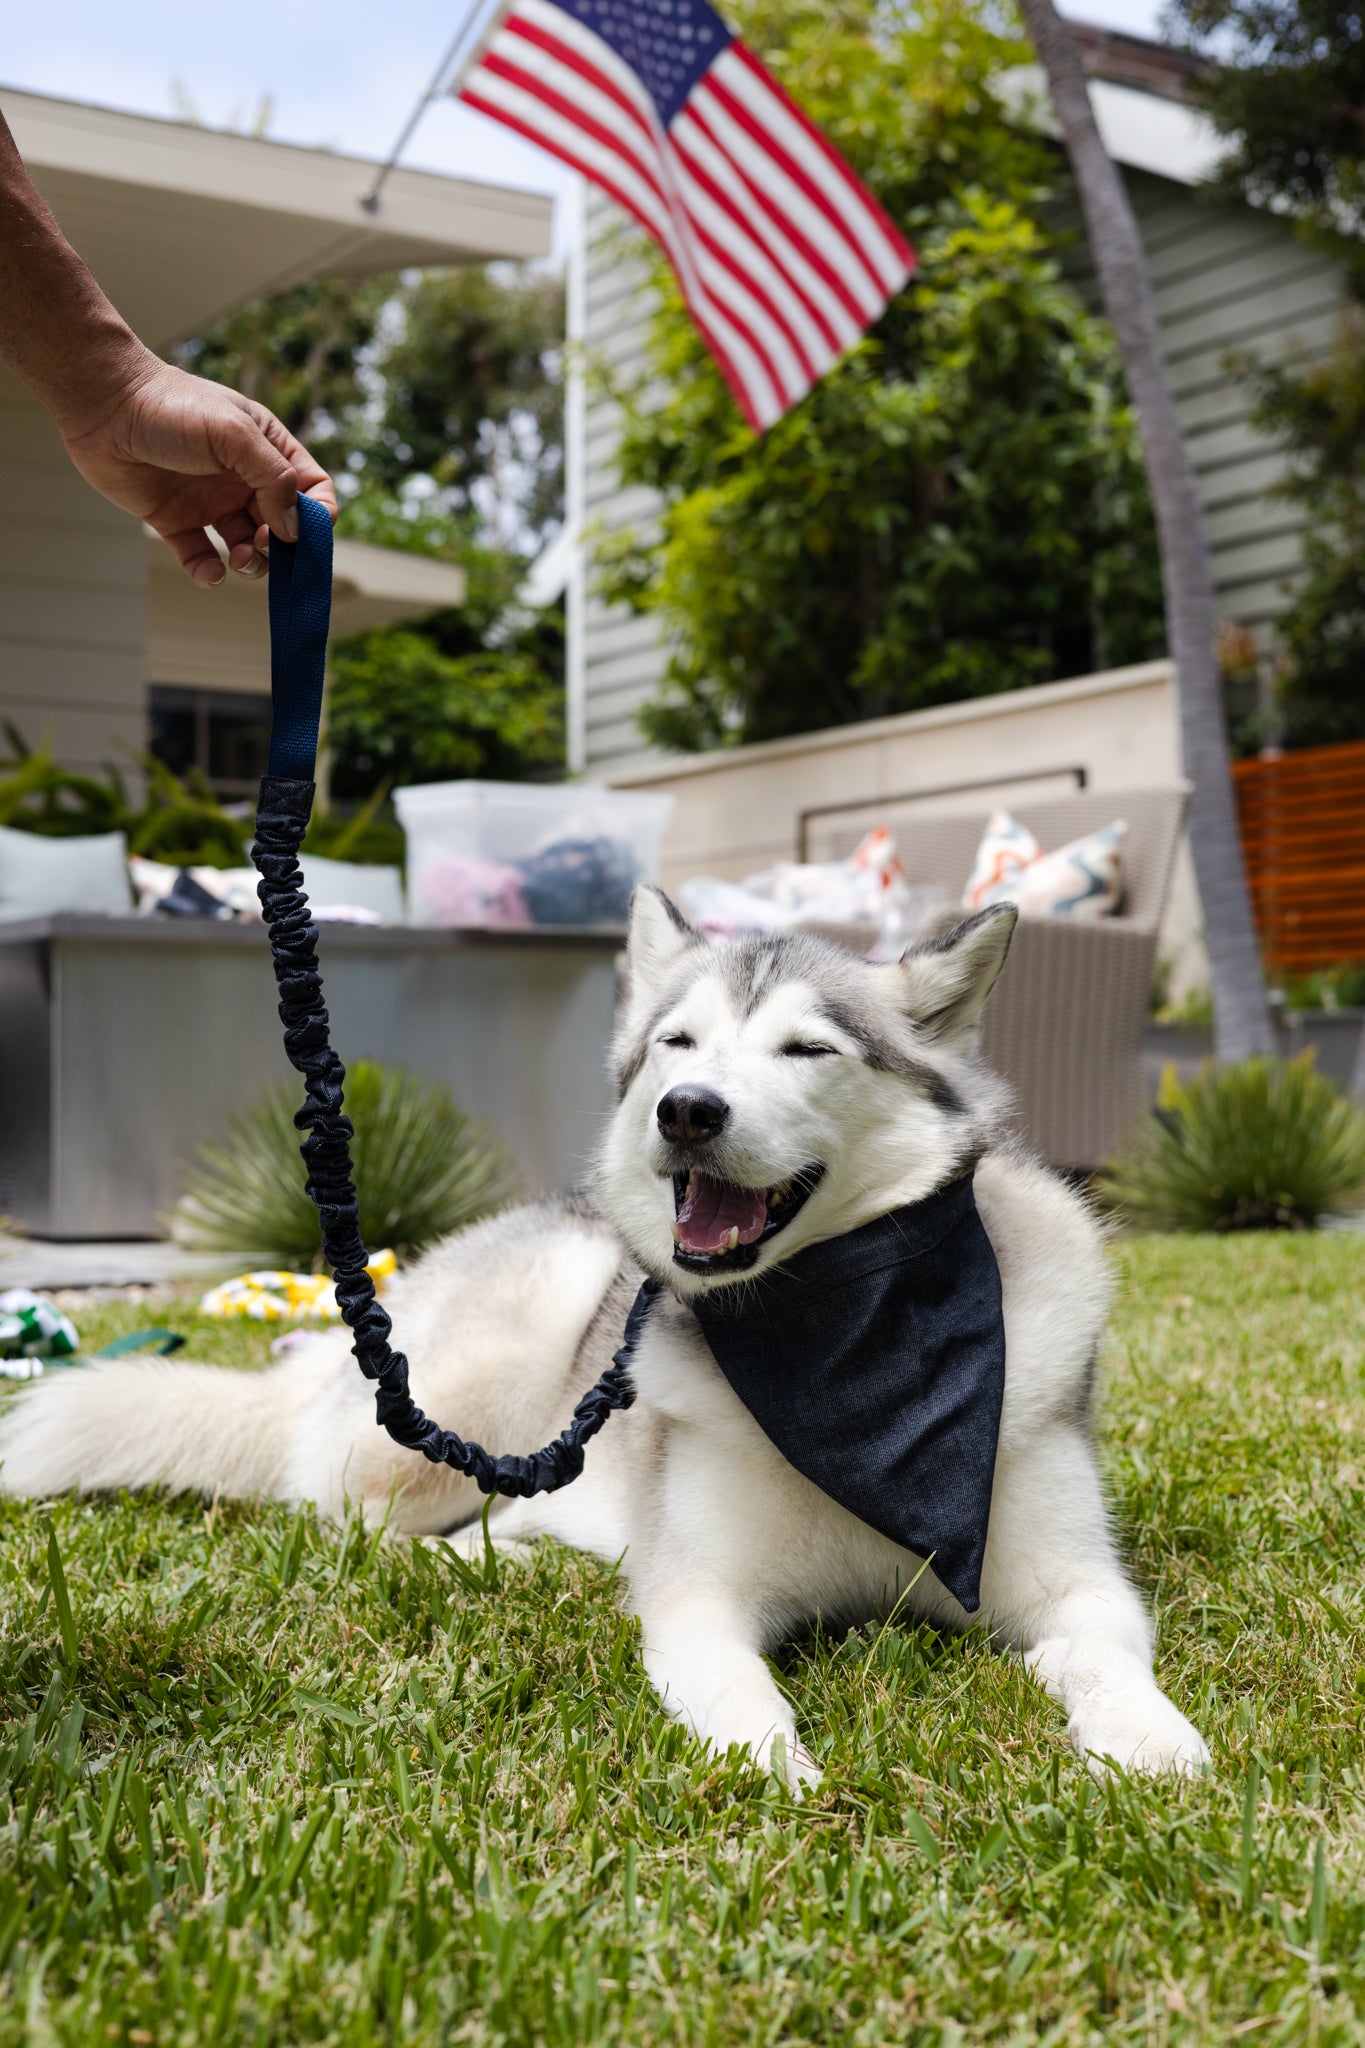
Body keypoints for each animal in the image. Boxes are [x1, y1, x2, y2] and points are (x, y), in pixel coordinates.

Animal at [5, 892, 1211, 1777]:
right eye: (678, 1041)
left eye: (807, 1049)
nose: (688, 1108)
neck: (845, 1348)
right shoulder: (700, 1598)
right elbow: (736, 1693)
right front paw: (776, 1776)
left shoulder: (1077, 1583)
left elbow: (1110, 1656)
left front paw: (1149, 1742)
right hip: (475, 1390)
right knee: (353, 1521)